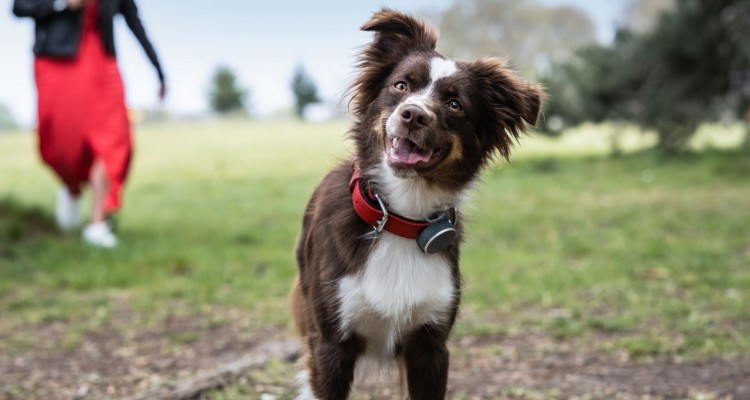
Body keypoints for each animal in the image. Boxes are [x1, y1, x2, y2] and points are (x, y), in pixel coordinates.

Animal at [290, 9, 544, 400]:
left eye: (455, 104)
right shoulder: (331, 344)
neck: (399, 215)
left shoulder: (431, 344)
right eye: (401, 86)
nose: (413, 114)